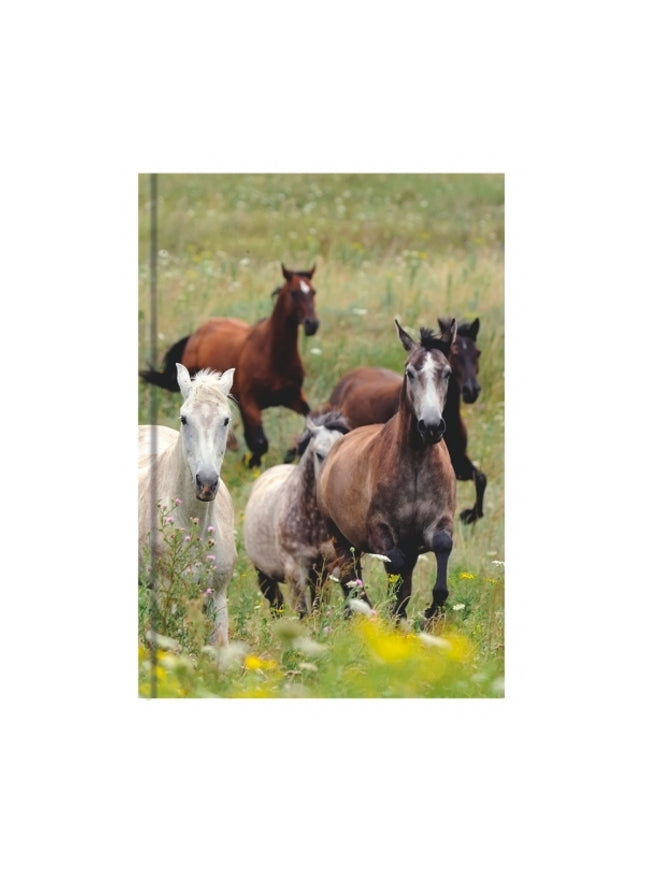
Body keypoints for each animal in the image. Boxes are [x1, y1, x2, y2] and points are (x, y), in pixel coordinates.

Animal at [140, 264, 320, 467]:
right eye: (294, 292)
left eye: (313, 291)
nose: (312, 324)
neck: (274, 357)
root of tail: (195, 335)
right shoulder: (250, 403)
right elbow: (260, 443)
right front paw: (250, 462)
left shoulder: (293, 397)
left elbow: (311, 418)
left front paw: (292, 452)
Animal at [242, 411, 350, 617]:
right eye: (319, 454)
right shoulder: (295, 571)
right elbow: (303, 613)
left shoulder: (325, 569)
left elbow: (318, 609)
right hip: (263, 574)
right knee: (276, 604)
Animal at [317, 319, 457, 627]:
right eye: (410, 372)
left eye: (447, 372)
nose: (431, 426)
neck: (416, 462)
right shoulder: (380, 531)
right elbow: (396, 566)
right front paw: (394, 616)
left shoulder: (438, 523)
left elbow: (440, 549)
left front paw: (428, 614)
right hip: (340, 538)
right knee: (350, 576)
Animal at [326, 317, 486, 523]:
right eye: (455, 353)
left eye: (477, 353)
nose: (471, 390)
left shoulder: (458, 461)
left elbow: (481, 477)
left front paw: (471, 514)